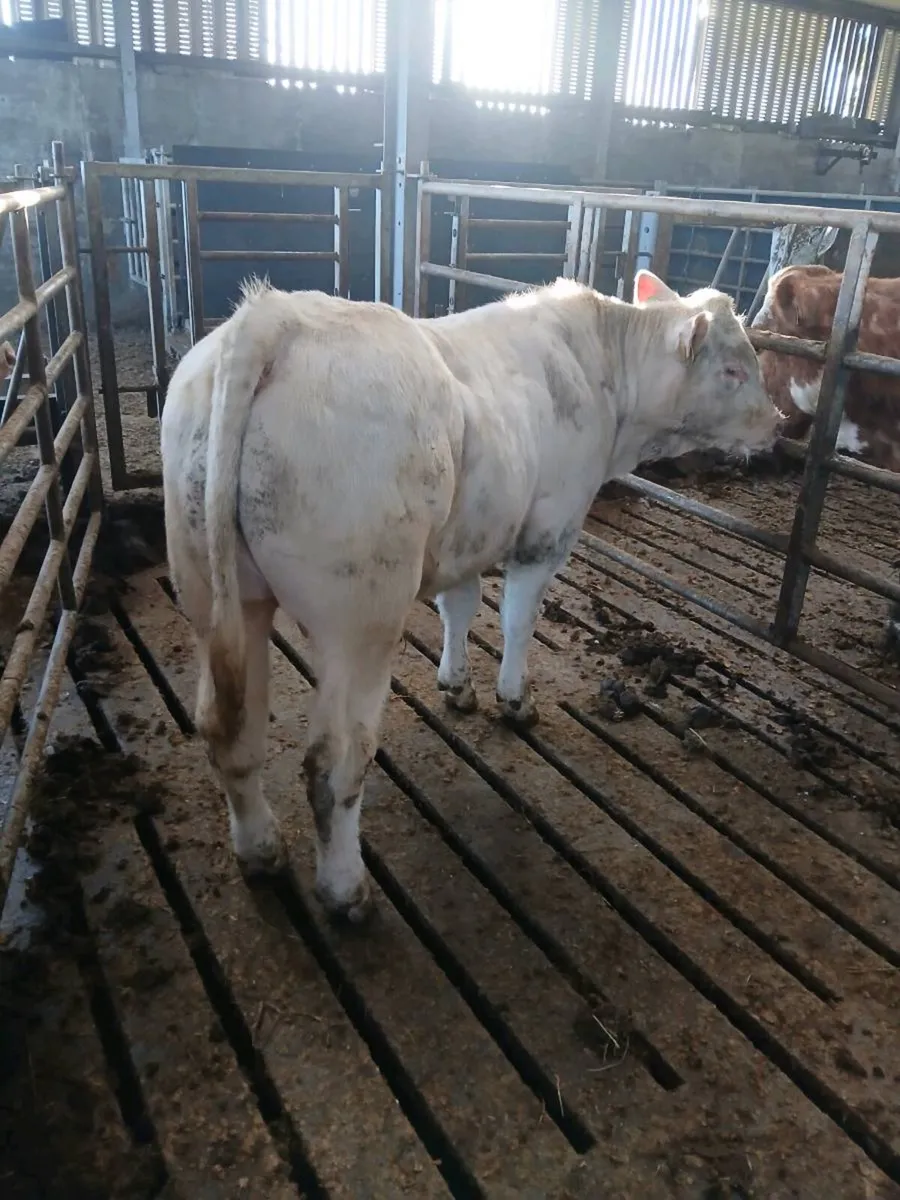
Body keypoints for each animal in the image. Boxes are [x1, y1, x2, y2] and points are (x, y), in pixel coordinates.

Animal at [161, 271, 778, 923]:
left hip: (218, 595)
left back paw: (260, 849)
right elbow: (516, 618)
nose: (779, 423)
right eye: (733, 369)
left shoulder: (469, 532)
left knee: (230, 730)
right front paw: (515, 698)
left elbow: (459, 606)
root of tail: (273, 317)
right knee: (334, 762)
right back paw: (346, 889)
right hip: (359, 618)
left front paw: (457, 685)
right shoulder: (549, 528)